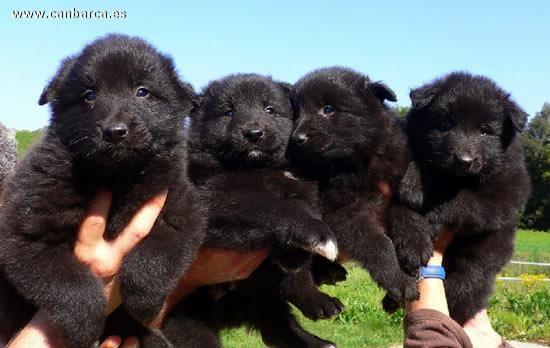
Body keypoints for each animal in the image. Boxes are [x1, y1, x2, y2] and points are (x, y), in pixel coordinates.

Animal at [0, 34, 205, 346]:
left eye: (142, 92)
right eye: (89, 95)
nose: (114, 131)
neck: (114, 178)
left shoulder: (180, 205)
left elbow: (158, 252)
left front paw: (144, 299)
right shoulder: (26, 230)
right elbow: (70, 283)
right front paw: (86, 327)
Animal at [288, 68, 418, 308]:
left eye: (328, 109)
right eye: (296, 113)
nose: (296, 138)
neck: (357, 161)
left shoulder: (398, 173)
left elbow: (404, 206)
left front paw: (415, 244)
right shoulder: (343, 212)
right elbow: (379, 243)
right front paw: (399, 281)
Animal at [386, 71, 532, 324]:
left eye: (485, 131)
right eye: (445, 125)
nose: (464, 160)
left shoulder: (505, 192)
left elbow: (461, 199)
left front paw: (423, 200)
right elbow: (399, 207)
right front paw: (413, 240)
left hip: (483, 256)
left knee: (465, 286)